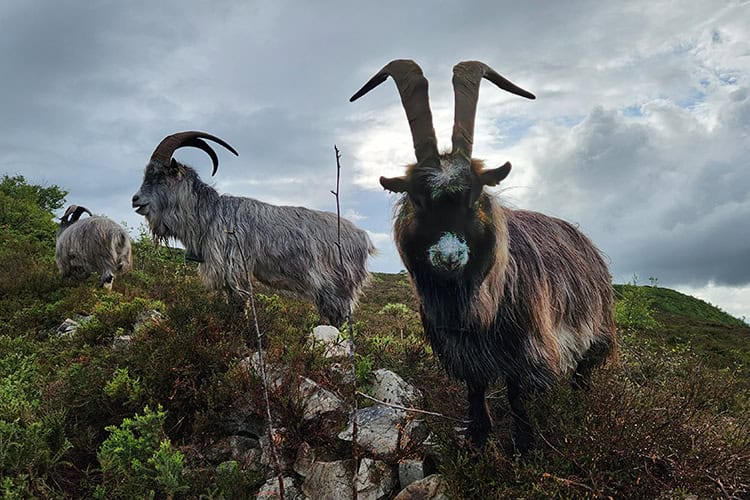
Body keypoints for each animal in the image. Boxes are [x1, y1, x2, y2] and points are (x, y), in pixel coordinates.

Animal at [131, 131, 375, 326]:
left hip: (336, 285)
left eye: (160, 175)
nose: (135, 200)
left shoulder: (233, 265)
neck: (210, 214)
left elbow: (239, 302)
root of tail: (363, 238)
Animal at [351, 60, 616, 452]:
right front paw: (478, 437)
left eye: (474, 196)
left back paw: (578, 409)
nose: (449, 257)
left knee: (582, 374)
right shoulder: (462, 348)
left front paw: (524, 446)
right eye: (417, 197)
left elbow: (517, 393)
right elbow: (476, 389)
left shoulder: (524, 346)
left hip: (595, 332)